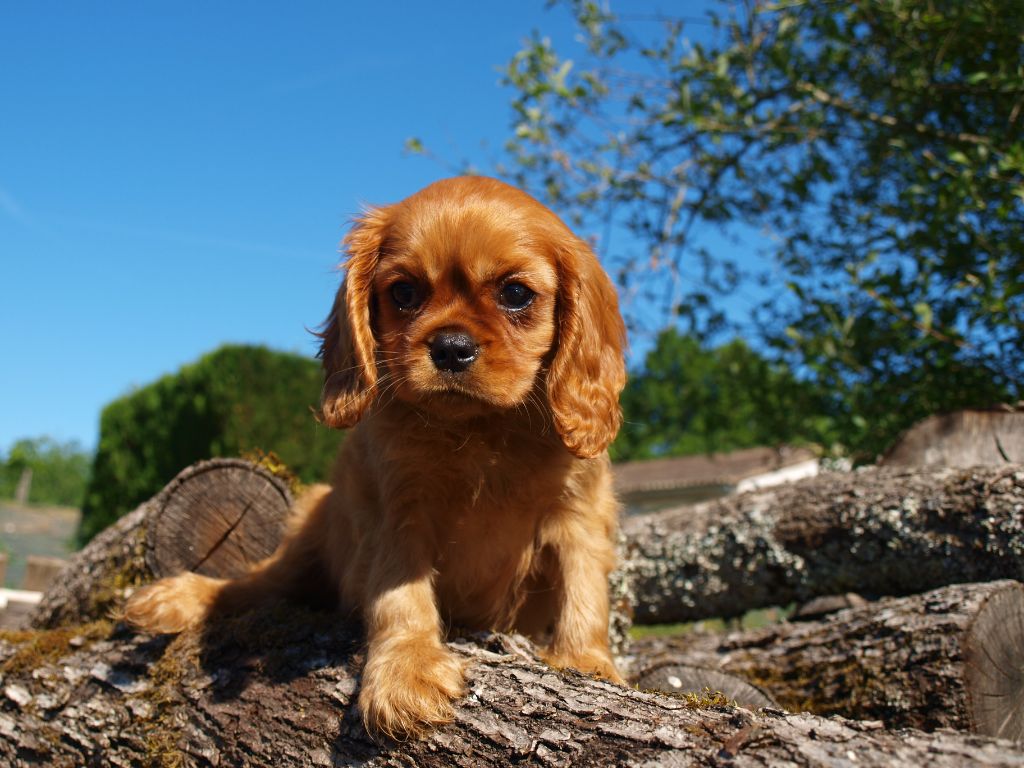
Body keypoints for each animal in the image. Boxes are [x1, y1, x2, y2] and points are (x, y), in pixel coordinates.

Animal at [123, 174, 626, 741]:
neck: (482, 429)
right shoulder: (399, 511)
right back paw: (178, 598)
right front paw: (406, 671)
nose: (451, 346)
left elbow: (583, 589)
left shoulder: (578, 516)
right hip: (306, 543)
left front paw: (587, 662)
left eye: (515, 294)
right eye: (404, 292)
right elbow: (401, 594)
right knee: (248, 587)